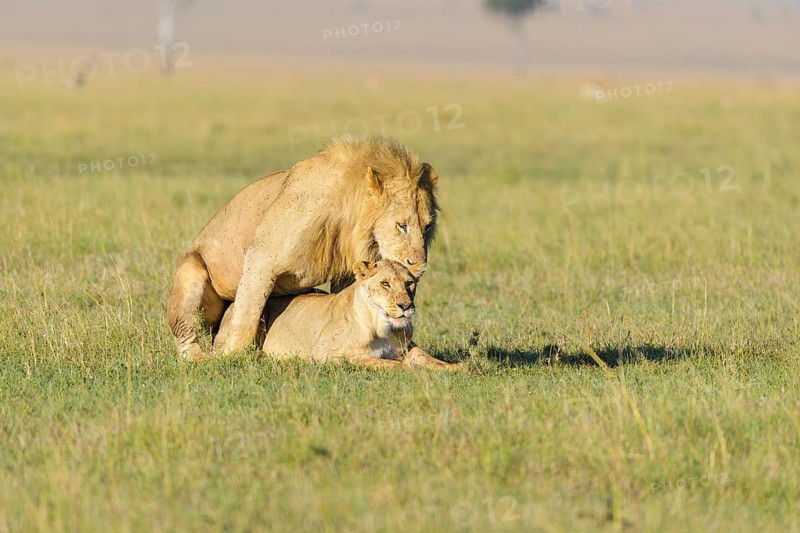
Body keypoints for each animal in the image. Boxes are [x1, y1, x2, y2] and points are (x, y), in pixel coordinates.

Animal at [167, 137, 440, 361]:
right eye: (402, 226)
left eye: (427, 227)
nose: (419, 265)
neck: (346, 217)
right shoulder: (260, 260)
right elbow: (245, 318)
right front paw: (232, 358)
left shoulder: (349, 272)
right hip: (192, 274)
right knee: (186, 335)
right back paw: (199, 359)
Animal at [221, 260, 458, 370]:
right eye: (385, 284)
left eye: (409, 284)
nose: (405, 305)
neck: (382, 327)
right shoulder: (324, 354)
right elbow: (372, 360)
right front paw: (407, 368)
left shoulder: (407, 347)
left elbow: (427, 358)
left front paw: (458, 368)